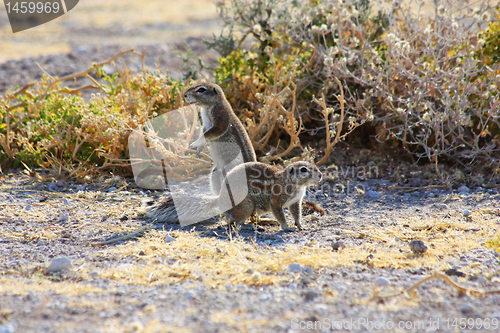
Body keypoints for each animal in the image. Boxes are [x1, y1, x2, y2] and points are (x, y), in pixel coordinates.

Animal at [145, 161, 324, 231]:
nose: (321, 175)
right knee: (232, 221)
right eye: (303, 170)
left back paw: (264, 222)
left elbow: (297, 214)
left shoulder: (295, 202)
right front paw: (286, 227)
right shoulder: (275, 200)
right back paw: (249, 226)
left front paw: (300, 226)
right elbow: (280, 214)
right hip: (246, 204)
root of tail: (219, 200)